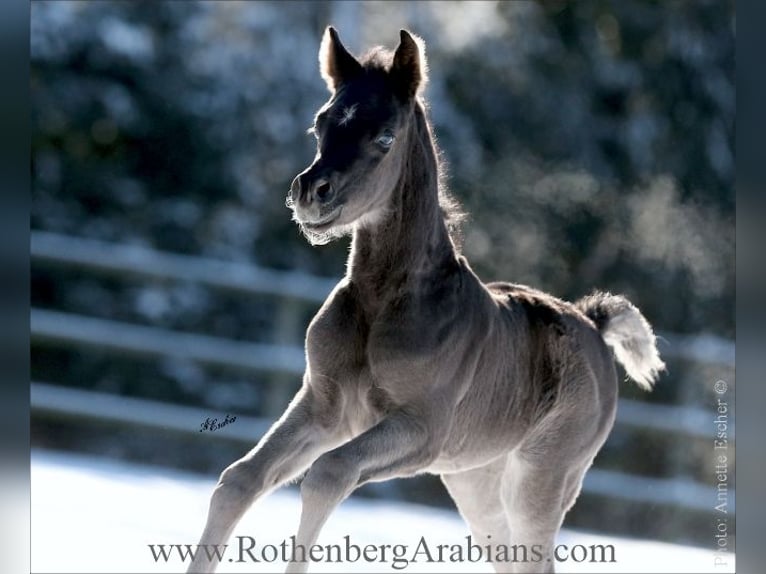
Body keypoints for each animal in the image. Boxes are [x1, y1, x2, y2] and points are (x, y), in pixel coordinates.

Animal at [187, 27, 665, 574]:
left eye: (385, 136)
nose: (311, 193)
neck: (381, 304)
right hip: (475, 480)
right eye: (320, 123)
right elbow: (240, 479)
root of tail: (591, 323)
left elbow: (329, 474)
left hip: (540, 478)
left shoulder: (421, 428)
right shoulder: (325, 407)